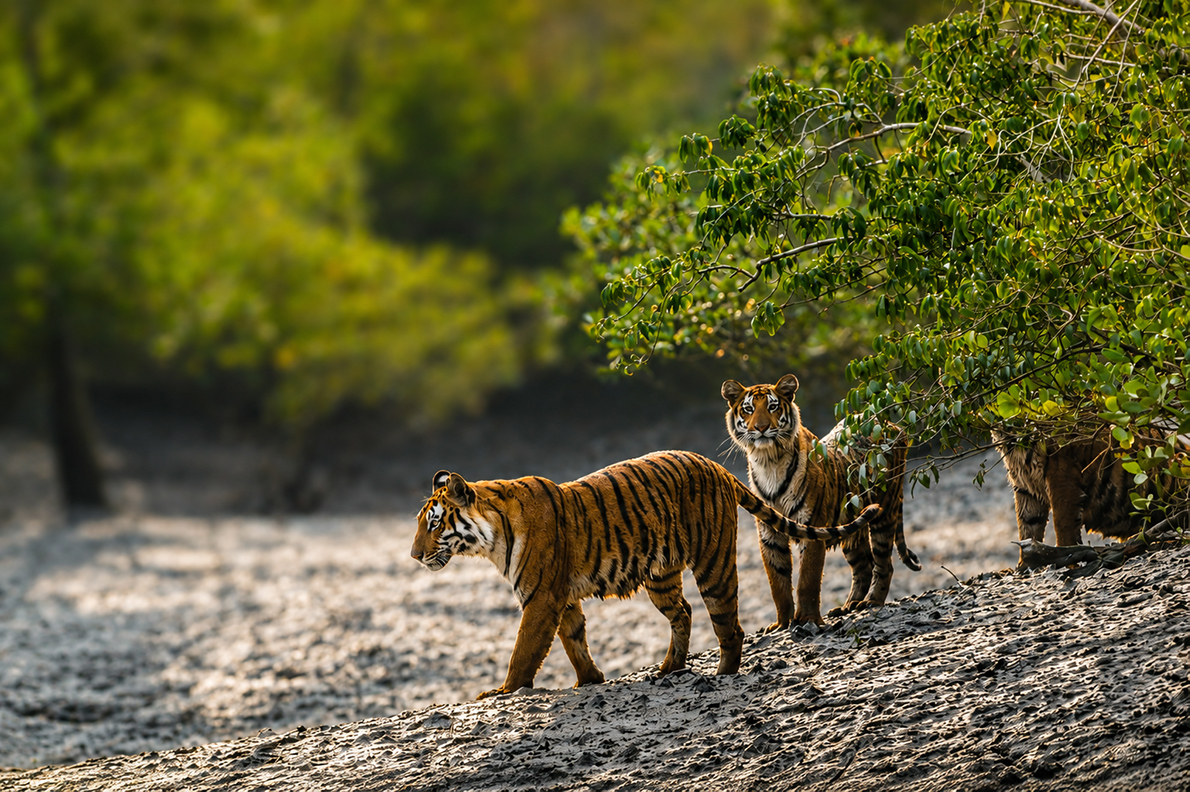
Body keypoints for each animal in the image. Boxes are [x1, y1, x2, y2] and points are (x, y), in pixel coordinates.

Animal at [410, 449, 881, 699]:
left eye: (433, 524)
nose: (414, 556)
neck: (490, 539)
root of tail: (714, 464)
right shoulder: (560, 598)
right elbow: (574, 640)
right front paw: (591, 680)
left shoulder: (541, 598)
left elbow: (524, 650)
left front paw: (504, 692)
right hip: (661, 577)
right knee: (684, 613)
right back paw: (669, 667)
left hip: (712, 564)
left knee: (729, 625)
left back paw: (723, 674)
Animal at [722, 374, 921, 628]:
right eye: (748, 409)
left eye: (772, 407)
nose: (761, 428)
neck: (769, 461)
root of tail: (891, 425)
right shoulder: (769, 532)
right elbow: (778, 581)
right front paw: (782, 623)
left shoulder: (812, 524)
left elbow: (808, 577)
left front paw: (807, 619)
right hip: (852, 529)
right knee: (863, 566)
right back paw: (847, 606)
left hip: (884, 513)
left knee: (883, 563)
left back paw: (871, 602)